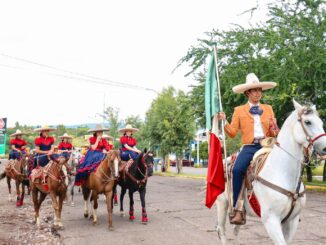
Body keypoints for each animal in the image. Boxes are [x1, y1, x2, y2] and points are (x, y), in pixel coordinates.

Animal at [216, 100, 326, 245]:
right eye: (308, 122)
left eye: (321, 123)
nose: (325, 148)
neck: (282, 173)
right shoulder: (271, 220)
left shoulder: (292, 221)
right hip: (222, 204)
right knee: (221, 230)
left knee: (235, 230)